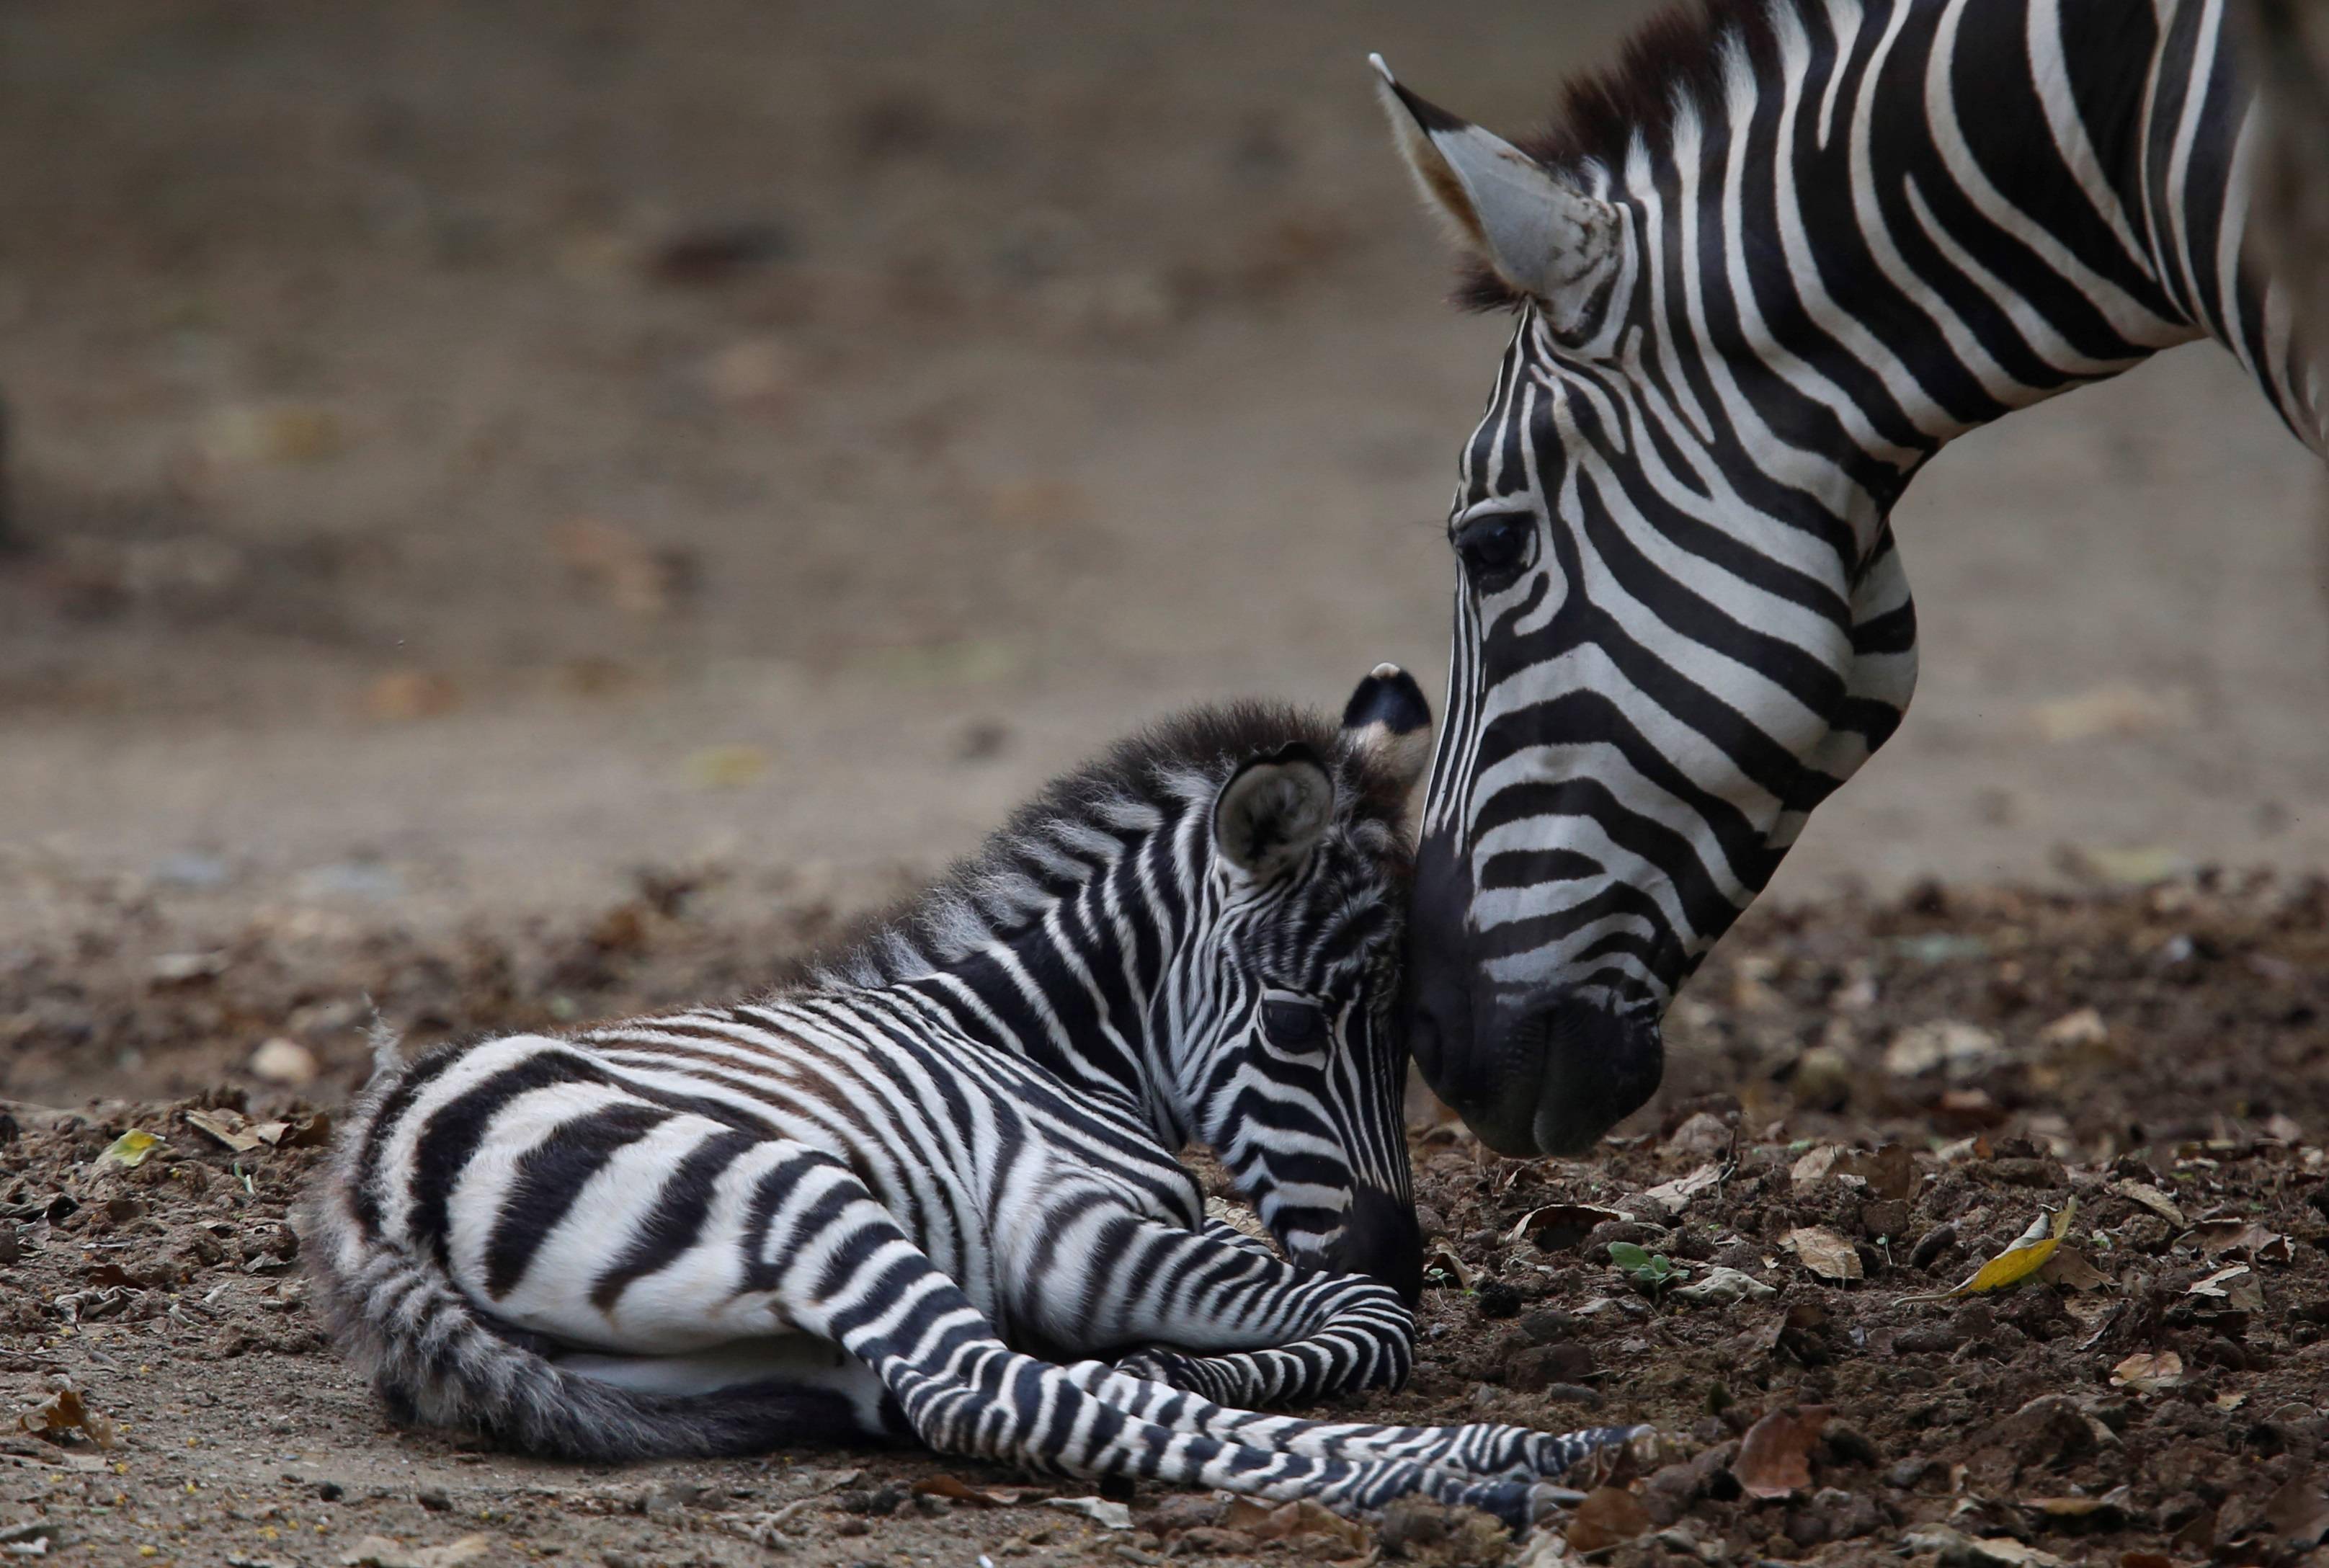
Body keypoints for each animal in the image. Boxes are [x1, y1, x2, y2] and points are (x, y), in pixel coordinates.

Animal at [305, 666, 1639, 1519]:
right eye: (1302, 1025)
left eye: (1404, 1036)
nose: (1403, 1253)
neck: (1039, 1040)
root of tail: (364, 1198)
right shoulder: (1069, 1226)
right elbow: (1366, 1325)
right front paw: (1218, 1354)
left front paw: (1193, 1360)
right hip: (796, 1196)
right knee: (988, 1392)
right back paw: (1497, 1468)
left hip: (765, 1357)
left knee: (1008, 1388)